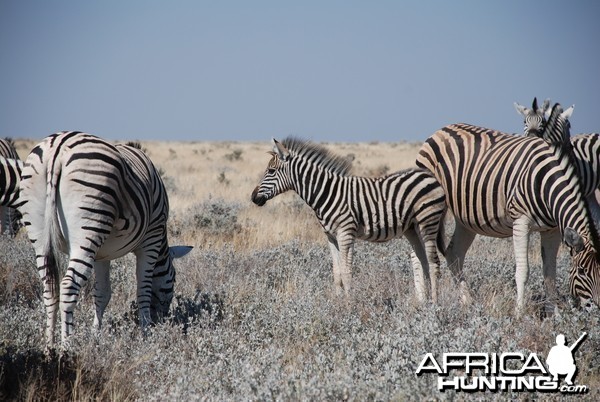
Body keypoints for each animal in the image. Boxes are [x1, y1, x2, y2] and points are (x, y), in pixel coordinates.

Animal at [4, 130, 192, 348]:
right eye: (174, 278)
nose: (162, 321)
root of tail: (58, 147)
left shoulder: (102, 254)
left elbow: (102, 293)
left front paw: (96, 335)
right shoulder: (151, 239)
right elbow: (143, 290)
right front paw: (146, 335)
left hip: (40, 230)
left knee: (49, 287)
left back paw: (49, 346)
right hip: (89, 223)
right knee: (68, 286)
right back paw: (66, 346)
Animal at [248, 138, 446, 302]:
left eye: (271, 171)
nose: (253, 198)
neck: (326, 193)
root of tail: (430, 176)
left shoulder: (345, 233)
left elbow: (346, 272)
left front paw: (349, 306)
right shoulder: (331, 236)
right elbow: (337, 273)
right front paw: (338, 304)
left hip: (428, 221)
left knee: (434, 263)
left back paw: (435, 306)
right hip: (412, 227)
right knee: (422, 261)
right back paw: (424, 303)